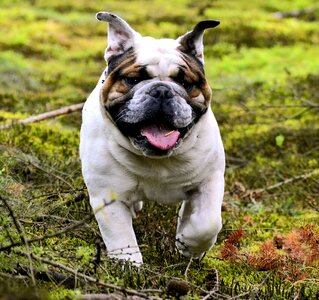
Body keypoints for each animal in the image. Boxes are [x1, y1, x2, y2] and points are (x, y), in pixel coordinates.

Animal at [79, 11, 225, 264]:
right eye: (133, 80)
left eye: (185, 83)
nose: (162, 90)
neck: (158, 161)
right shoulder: (107, 195)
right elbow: (121, 238)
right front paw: (129, 267)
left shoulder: (210, 179)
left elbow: (207, 222)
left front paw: (189, 244)